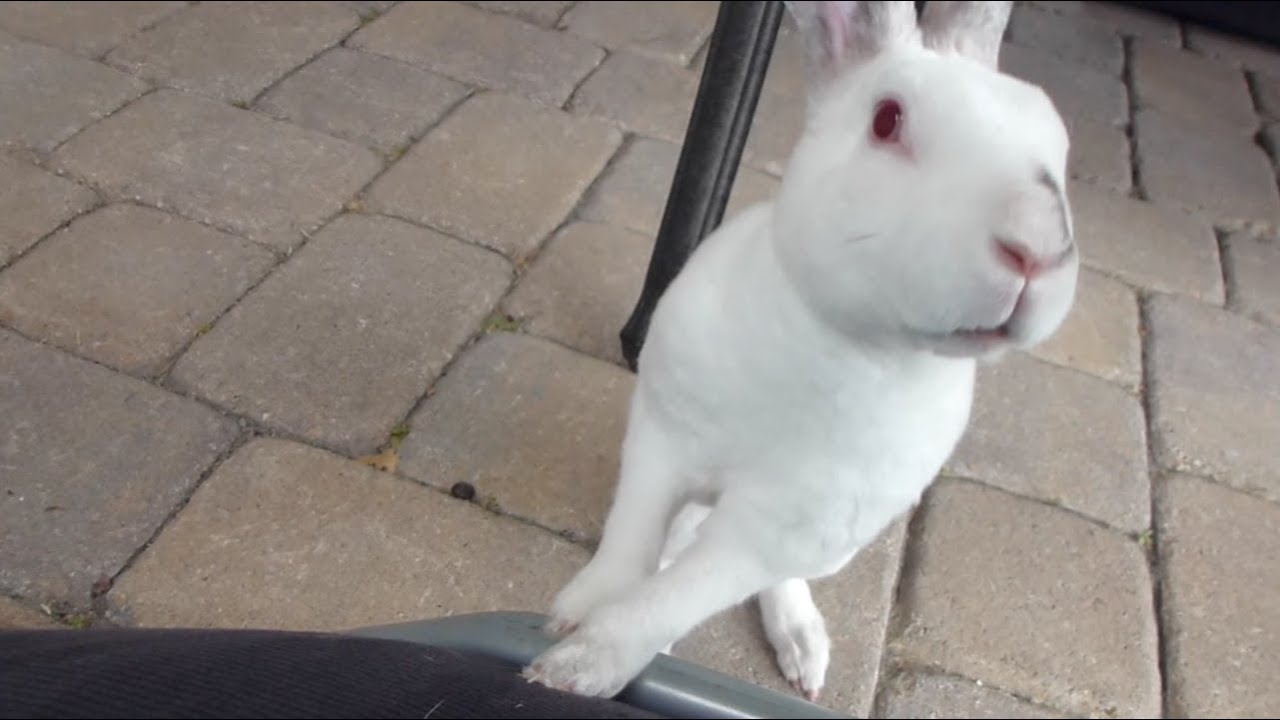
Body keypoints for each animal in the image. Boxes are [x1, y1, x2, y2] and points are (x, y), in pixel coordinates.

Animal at [523, 0, 1077, 703]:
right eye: (887, 119)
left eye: (1060, 148)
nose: (1038, 245)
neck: (834, 338)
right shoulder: (660, 441)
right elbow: (631, 540)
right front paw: (571, 618)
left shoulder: (783, 527)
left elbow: (674, 599)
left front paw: (576, 669)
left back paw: (804, 652)